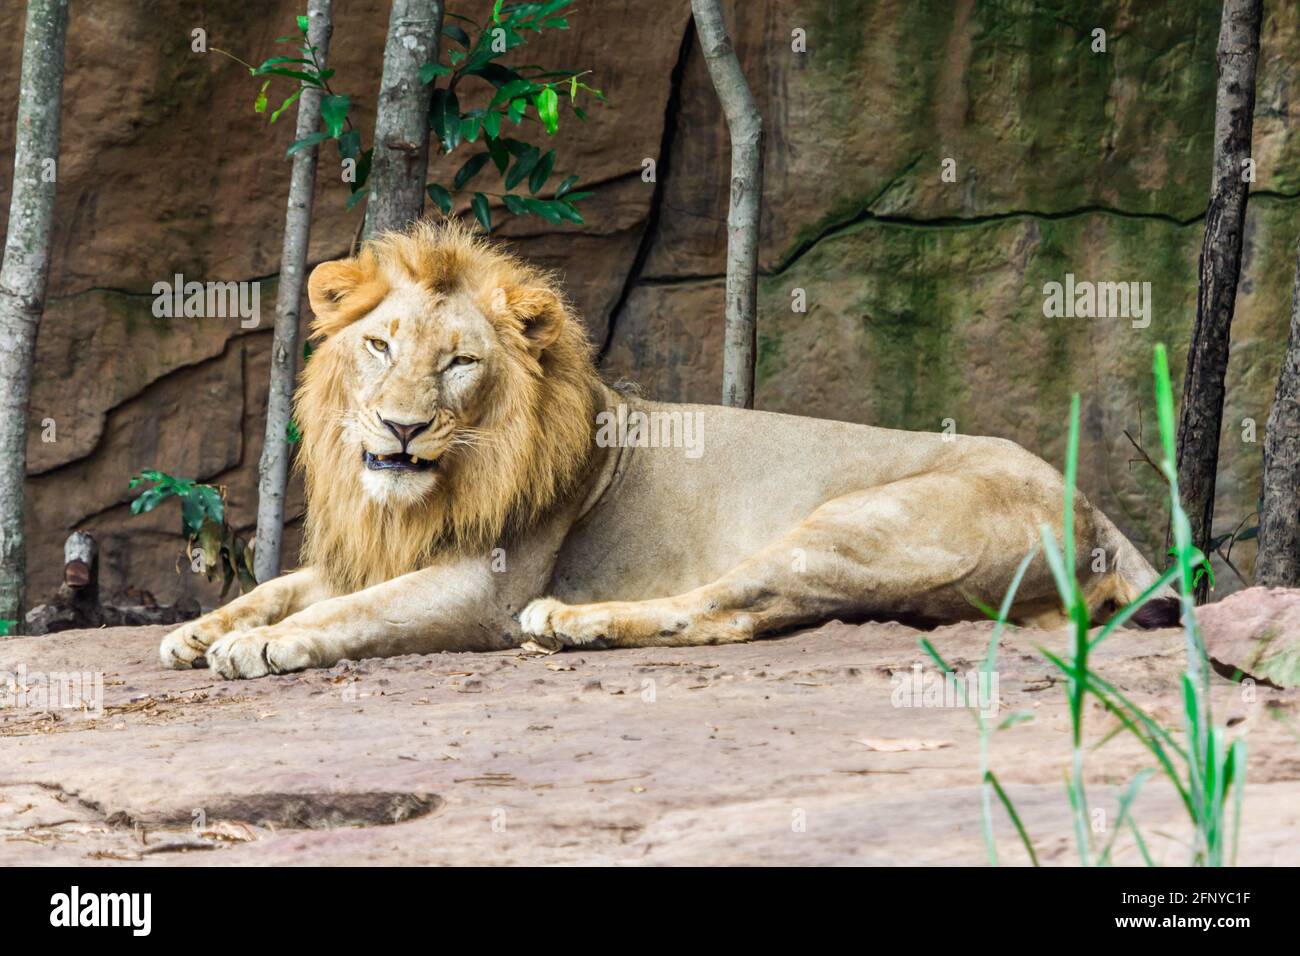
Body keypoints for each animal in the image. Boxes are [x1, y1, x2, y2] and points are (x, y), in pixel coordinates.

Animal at [159, 221, 1170, 681]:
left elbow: (355, 612)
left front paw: (260, 647)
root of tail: (1095, 511)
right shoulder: (374, 547)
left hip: (853, 522)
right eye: (378, 346)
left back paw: (575, 624)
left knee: (730, 605)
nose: (401, 429)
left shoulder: (483, 586)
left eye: (458, 363)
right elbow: (281, 584)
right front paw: (200, 630)